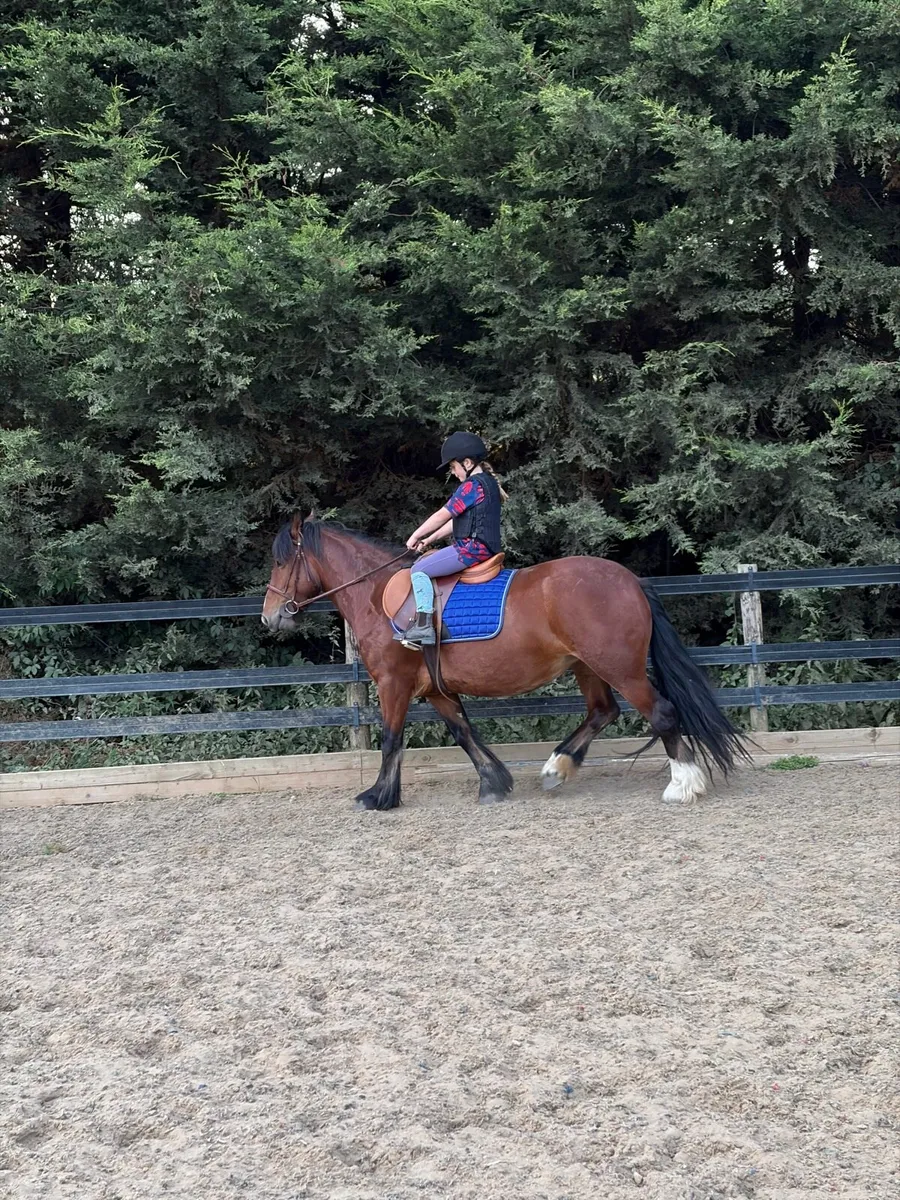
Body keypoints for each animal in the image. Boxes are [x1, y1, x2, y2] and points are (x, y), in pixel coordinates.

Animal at [261, 514, 748, 811]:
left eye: (283, 561)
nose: (269, 616)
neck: (378, 594)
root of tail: (630, 580)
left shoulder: (392, 683)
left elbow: (391, 740)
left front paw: (378, 796)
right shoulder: (435, 689)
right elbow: (464, 733)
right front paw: (495, 782)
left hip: (619, 668)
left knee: (661, 712)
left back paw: (682, 785)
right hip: (587, 667)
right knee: (602, 711)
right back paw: (557, 767)